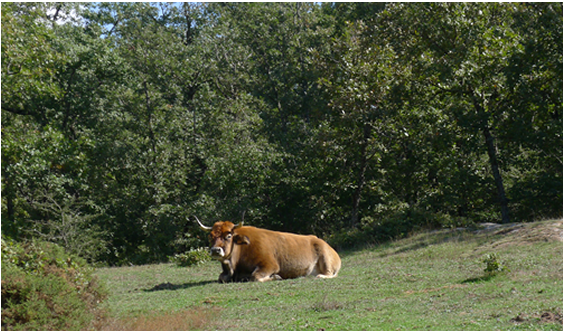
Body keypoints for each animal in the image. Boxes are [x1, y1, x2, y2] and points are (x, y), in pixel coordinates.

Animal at [194, 217, 344, 284]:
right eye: (210, 236)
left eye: (228, 236)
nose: (215, 250)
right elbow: (221, 278)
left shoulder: (269, 265)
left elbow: (255, 276)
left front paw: (275, 277)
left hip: (325, 258)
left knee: (329, 274)